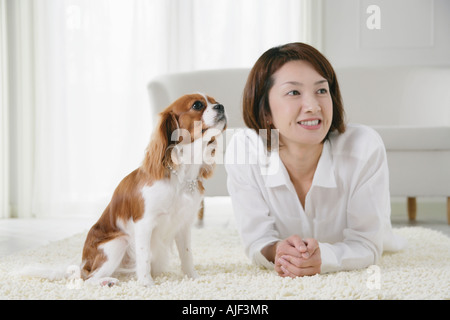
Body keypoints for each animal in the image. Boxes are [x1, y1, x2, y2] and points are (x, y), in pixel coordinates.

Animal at [80, 94, 225, 286]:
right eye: (197, 105)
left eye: (214, 101)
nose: (221, 106)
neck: (180, 176)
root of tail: (83, 264)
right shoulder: (144, 223)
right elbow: (144, 256)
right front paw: (146, 283)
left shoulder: (184, 224)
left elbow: (187, 255)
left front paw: (192, 277)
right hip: (118, 242)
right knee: (87, 279)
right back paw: (106, 281)